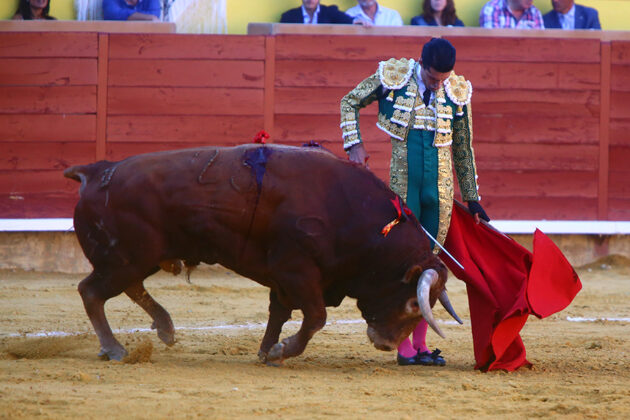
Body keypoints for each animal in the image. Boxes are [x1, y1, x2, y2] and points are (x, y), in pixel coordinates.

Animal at [64, 143, 462, 362]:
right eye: (412, 305)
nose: (386, 344)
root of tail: (96, 171)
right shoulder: (297, 269)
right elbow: (315, 316)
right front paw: (282, 351)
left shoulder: (285, 277)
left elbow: (279, 312)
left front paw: (267, 352)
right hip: (127, 257)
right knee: (92, 291)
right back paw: (115, 349)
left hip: (135, 258)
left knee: (128, 287)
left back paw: (164, 329)